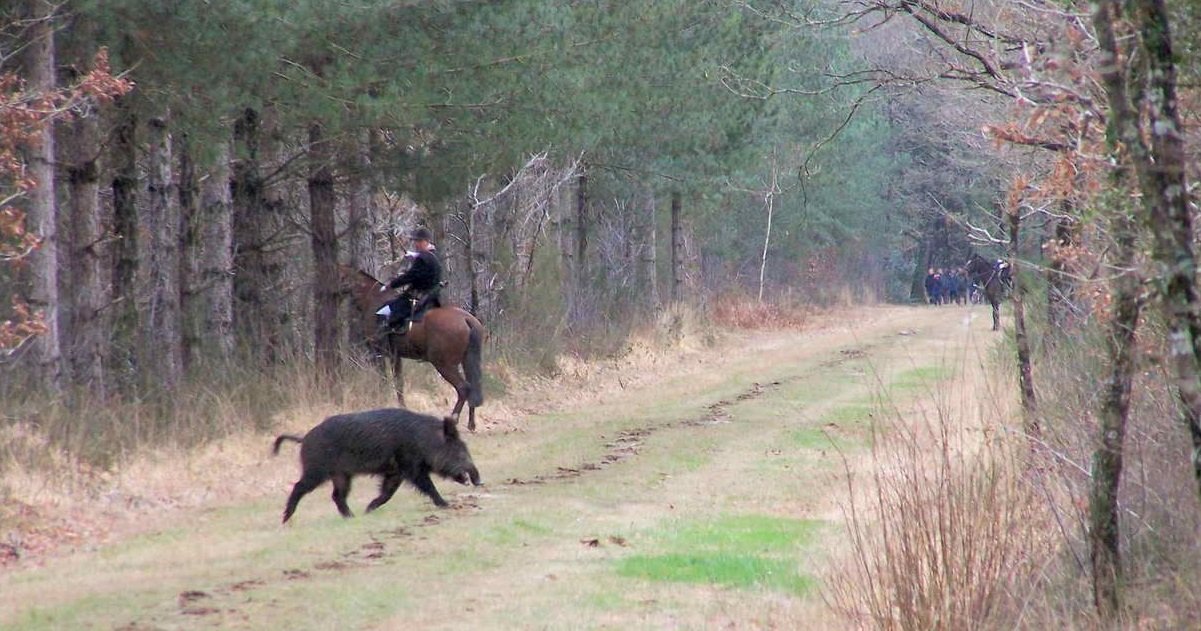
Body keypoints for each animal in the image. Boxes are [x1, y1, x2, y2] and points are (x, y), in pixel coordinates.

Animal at [336, 263, 485, 430]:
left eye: (339, 275)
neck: (372, 300)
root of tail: (467, 319)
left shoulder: (380, 354)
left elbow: (384, 379)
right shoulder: (396, 356)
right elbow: (398, 382)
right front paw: (402, 406)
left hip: (444, 365)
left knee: (463, 387)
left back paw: (453, 419)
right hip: (466, 361)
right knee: (472, 386)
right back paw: (471, 423)